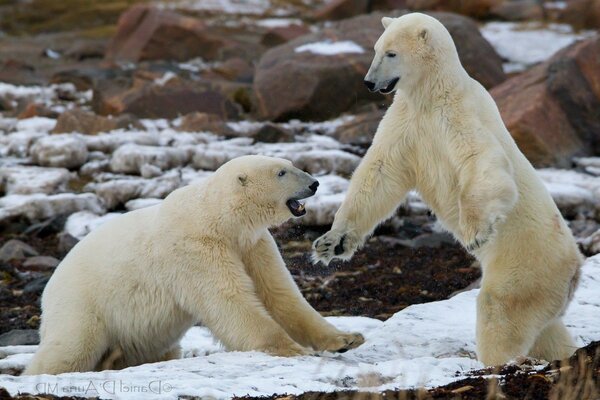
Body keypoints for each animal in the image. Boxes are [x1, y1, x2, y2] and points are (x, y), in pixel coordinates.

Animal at [24, 155, 366, 376]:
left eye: (292, 165)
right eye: (282, 172)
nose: (315, 184)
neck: (218, 217)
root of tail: (49, 288)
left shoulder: (252, 245)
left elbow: (280, 295)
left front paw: (346, 339)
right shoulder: (195, 249)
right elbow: (230, 301)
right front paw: (294, 349)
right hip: (83, 305)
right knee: (71, 348)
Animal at [312, 14, 584, 368]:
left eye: (391, 53)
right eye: (376, 49)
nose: (369, 83)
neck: (432, 92)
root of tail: (575, 267)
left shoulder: (457, 114)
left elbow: (481, 160)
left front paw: (475, 232)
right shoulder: (406, 121)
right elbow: (379, 174)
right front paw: (331, 243)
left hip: (526, 265)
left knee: (501, 309)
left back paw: (499, 361)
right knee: (547, 330)